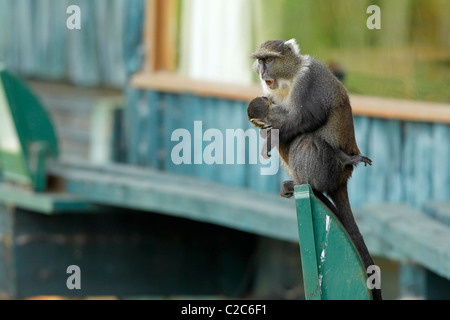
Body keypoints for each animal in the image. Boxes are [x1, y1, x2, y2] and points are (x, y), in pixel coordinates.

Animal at [248, 39, 382, 300]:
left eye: (269, 59)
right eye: (260, 60)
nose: (262, 71)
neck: (288, 78)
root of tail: (343, 178)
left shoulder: (308, 81)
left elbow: (309, 118)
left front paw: (268, 140)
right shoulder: (270, 97)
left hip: (330, 168)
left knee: (306, 140)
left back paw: (309, 183)